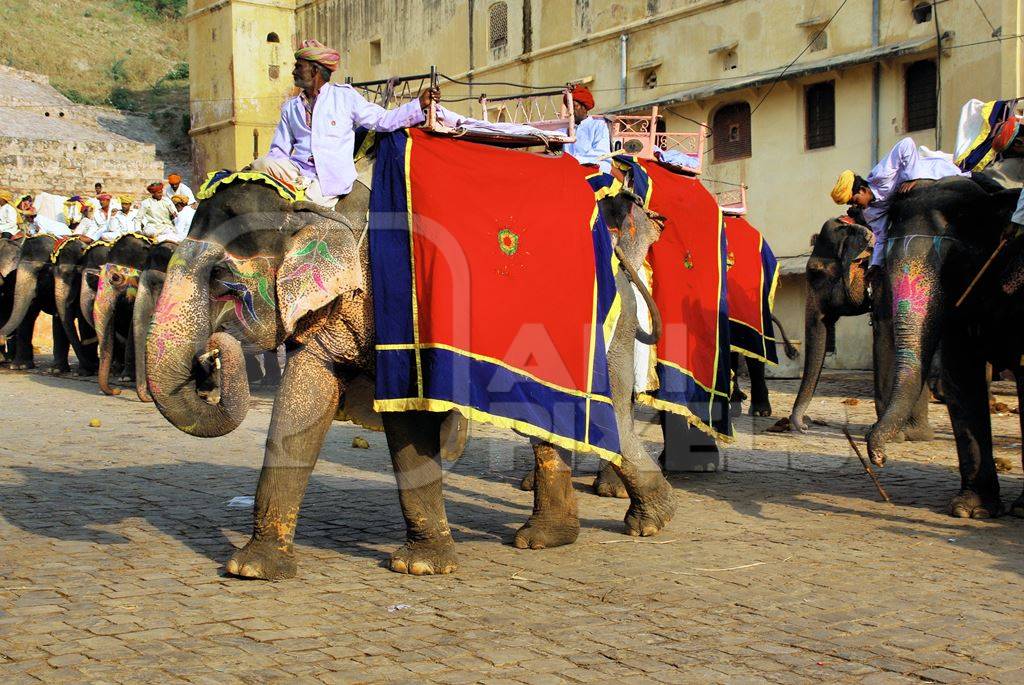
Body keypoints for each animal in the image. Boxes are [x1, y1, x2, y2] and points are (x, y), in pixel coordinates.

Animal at [790, 213, 937, 438]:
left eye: (815, 273)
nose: (806, 426)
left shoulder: (888, 283)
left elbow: (884, 334)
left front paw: (886, 434)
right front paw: (916, 435)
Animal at [864, 178, 1024, 518]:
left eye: (955, 260)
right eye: (885, 259)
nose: (880, 459)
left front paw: (1018, 510)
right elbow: (961, 376)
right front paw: (971, 510)